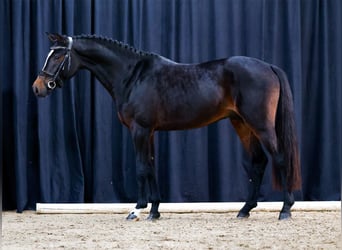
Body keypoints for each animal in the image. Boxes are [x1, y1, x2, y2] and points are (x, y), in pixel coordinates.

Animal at [31, 33, 300, 221]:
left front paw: (137, 210)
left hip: (261, 125)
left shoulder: (139, 129)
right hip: (241, 124)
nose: (38, 87)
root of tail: (268, 66)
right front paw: (155, 210)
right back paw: (245, 209)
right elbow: (151, 166)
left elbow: (141, 167)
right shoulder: (148, 131)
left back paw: (285, 209)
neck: (133, 75)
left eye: (58, 56)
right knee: (258, 162)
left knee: (279, 158)